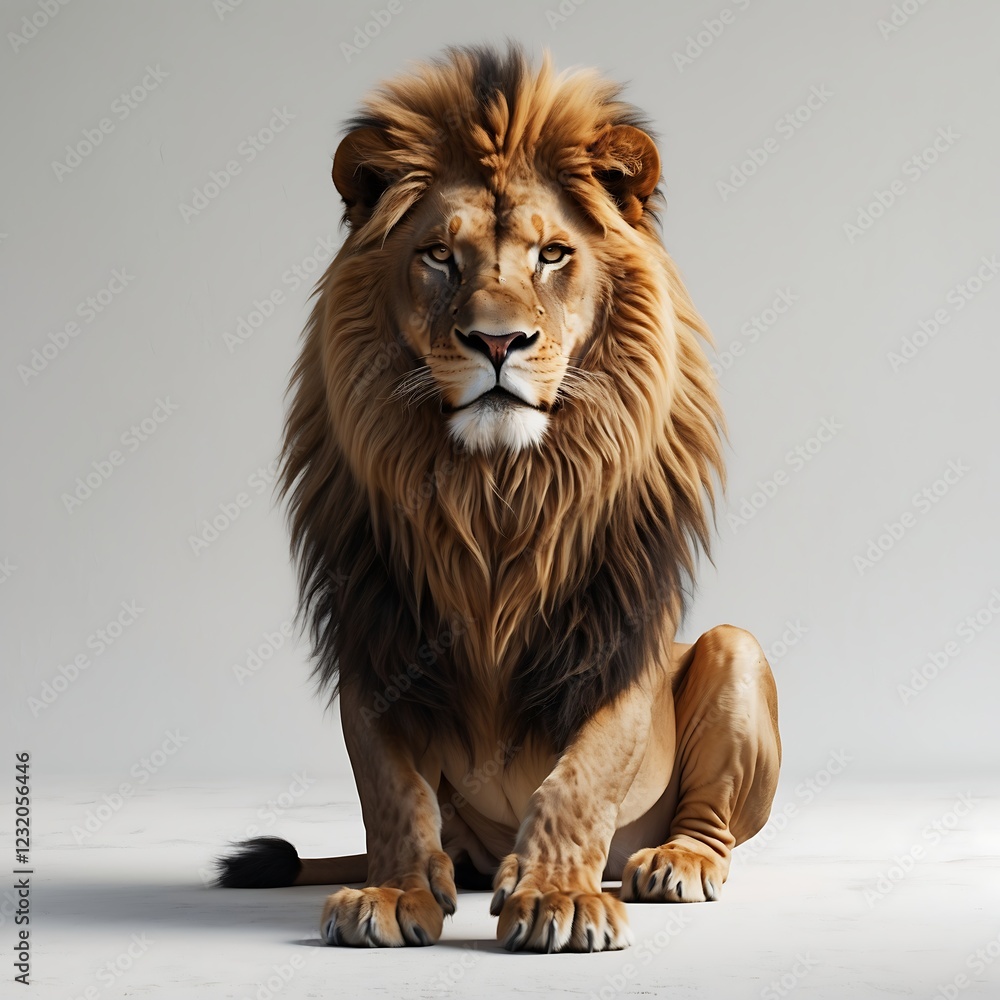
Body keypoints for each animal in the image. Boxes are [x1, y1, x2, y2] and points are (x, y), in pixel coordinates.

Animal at [216, 43, 781, 954]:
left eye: (552, 255)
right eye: (439, 256)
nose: (496, 340)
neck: (494, 491)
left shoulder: (614, 625)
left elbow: (583, 774)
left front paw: (557, 897)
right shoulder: (374, 626)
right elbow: (388, 786)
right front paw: (394, 892)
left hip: (736, 649)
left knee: (709, 816)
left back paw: (674, 863)